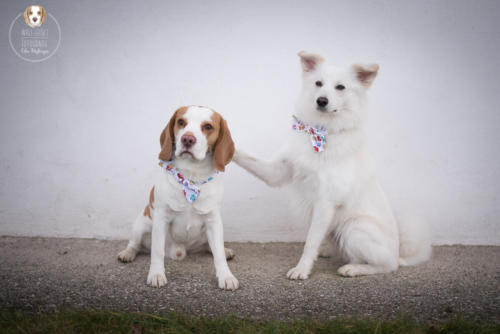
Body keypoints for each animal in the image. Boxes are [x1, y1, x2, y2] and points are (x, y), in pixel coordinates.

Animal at [119, 106, 240, 290]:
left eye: (208, 126)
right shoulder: (161, 218)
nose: (187, 139)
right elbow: (157, 251)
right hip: (141, 225)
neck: (191, 177)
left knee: (210, 247)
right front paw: (156, 274)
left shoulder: (213, 220)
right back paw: (127, 253)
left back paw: (225, 251)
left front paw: (226, 276)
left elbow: (217, 254)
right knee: (135, 244)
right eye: (181, 122)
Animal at [234, 51, 430, 278]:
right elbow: (246, 156)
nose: (321, 100)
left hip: (354, 228)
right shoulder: (277, 171)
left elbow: (310, 242)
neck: (321, 131)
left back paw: (353, 269)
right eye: (318, 83)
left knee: (386, 265)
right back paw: (329, 252)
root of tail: (398, 253)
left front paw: (302, 269)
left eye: (340, 87)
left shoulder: (326, 202)